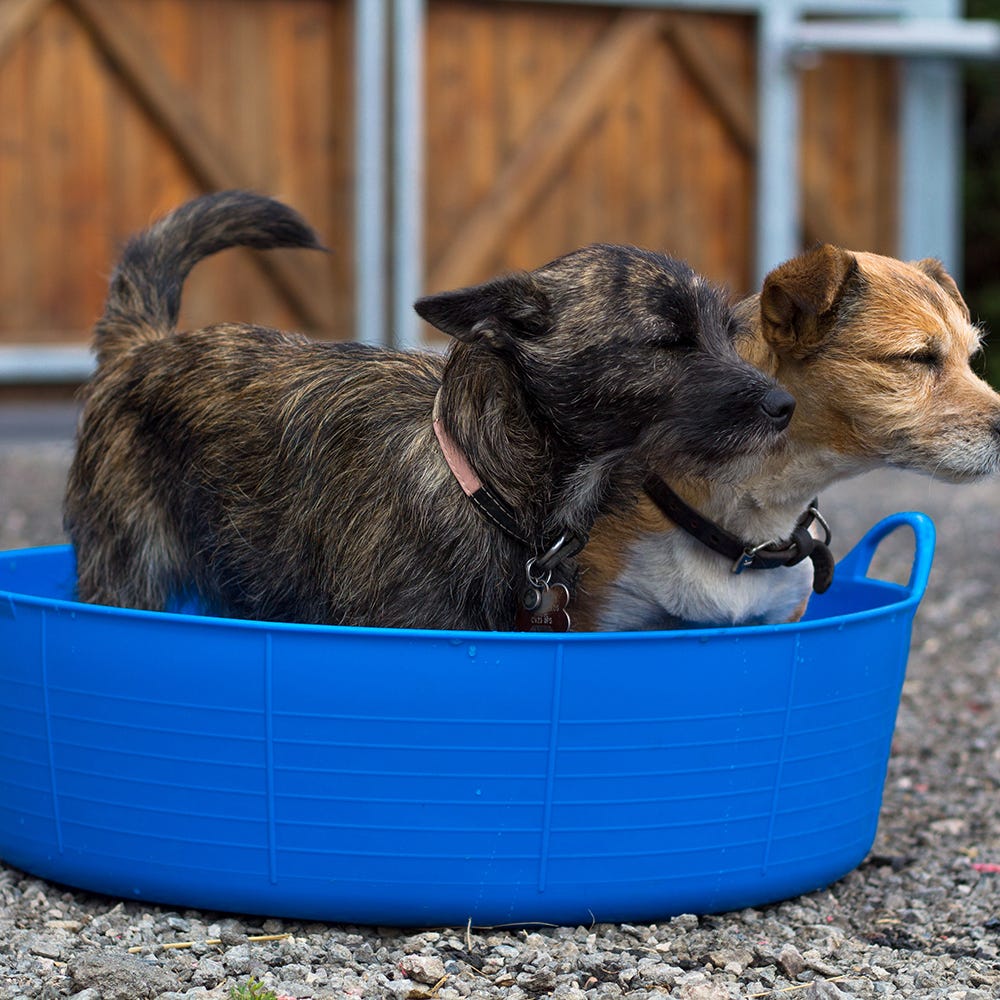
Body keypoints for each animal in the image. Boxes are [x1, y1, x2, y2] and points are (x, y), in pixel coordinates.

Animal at [66, 191, 792, 628]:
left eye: (728, 332)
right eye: (668, 340)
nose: (783, 405)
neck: (482, 478)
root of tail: (143, 345)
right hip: (125, 577)